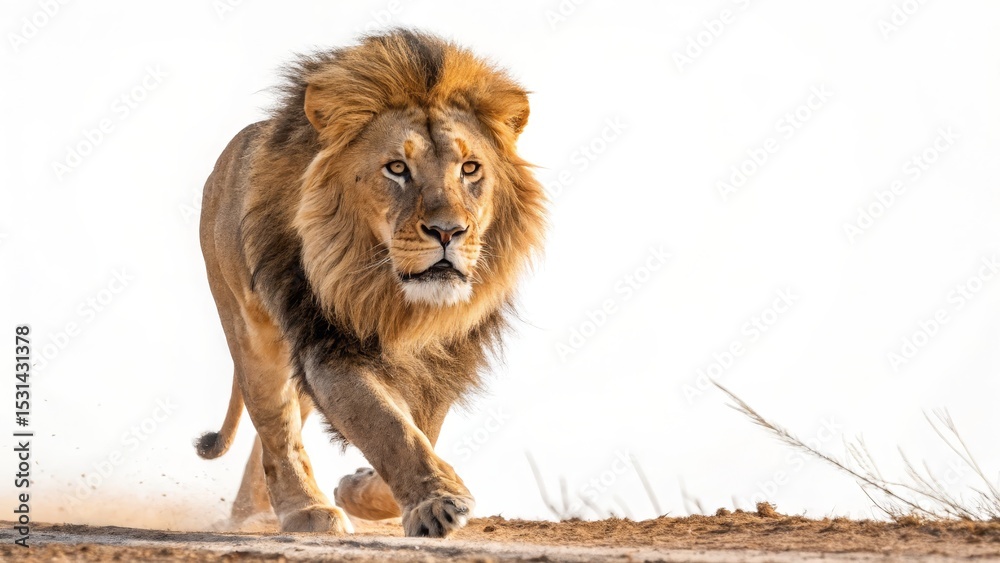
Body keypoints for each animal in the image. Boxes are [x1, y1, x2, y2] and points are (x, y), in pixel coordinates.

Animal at [194, 29, 546, 538]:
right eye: (397, 168)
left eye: (470, 169)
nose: (448, 232)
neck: (398, 302)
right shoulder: (329, 342)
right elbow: (387, 426)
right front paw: (437, 504)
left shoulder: (444, 356)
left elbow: (420, 428)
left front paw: (362, 489)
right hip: (251, 332)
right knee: (277, 432)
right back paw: (304, 511)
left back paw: (252, 515)